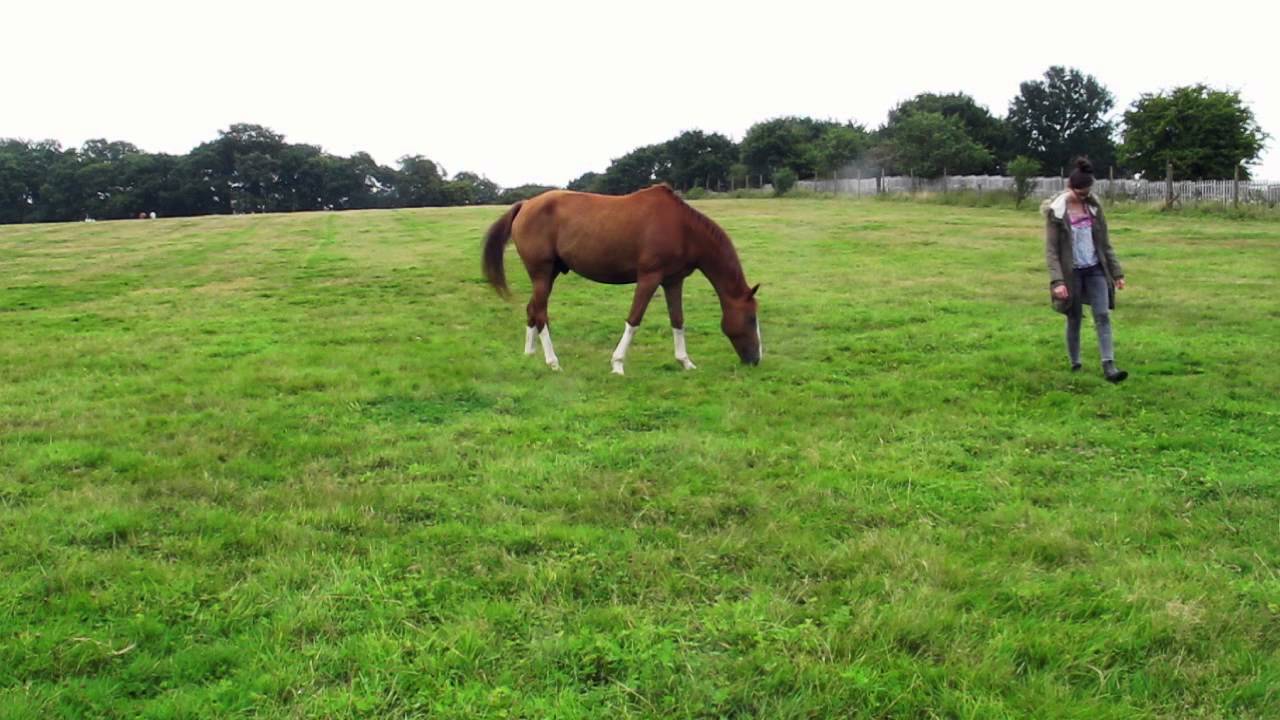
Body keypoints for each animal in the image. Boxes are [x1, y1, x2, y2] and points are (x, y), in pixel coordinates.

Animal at [482, 184, 761, 374]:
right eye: (750, 318)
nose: (756, 359)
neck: (683, 228)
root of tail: (525, 205)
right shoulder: (649, 277)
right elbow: (634, 320)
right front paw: (617, 364)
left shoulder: (672, 280)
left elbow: (678, 320)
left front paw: (685, 361)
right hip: (542, 273)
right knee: (540, 314)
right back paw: (553, 362)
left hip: (548, 275)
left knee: (532, 309)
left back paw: (530, 354)